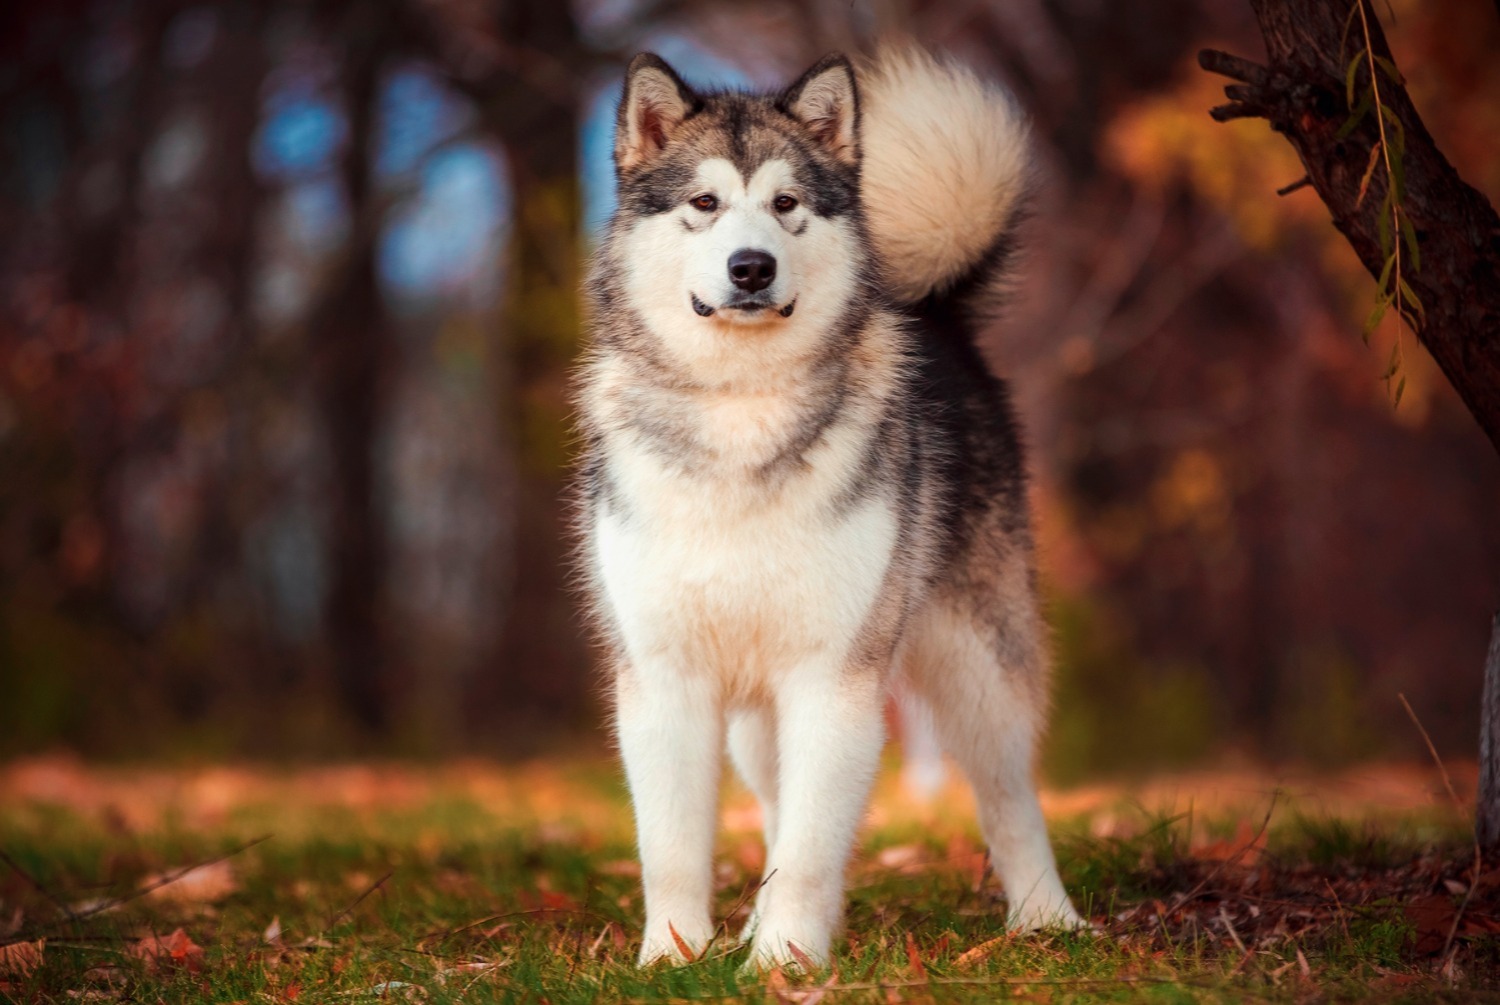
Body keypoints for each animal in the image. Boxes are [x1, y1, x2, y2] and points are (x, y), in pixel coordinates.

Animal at [570, 45, 1080, 966]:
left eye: (786, 204)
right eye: (704, 202)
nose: (752, 267)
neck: (741, 410)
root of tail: (936, 312)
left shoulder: (835, 677)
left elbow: (812, 845)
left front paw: (783, 961)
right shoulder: (663, 678)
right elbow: (673, 845)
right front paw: (676, 955)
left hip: (978, 664)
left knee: (1009, 796)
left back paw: (1048, 918)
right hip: (754, 716)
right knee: (778, 802)